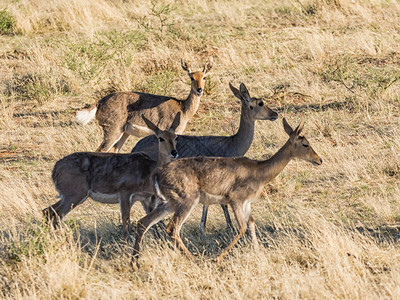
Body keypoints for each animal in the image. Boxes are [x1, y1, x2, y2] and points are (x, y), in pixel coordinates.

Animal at [43, 112, 180, 239]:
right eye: (160, 138)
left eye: (176, 137)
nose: (174, 152)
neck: (148, 170)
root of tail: (55, 169)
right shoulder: (125, 194)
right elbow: (126, 222)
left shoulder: (145, 200)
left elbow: (153, 223)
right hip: (74, 196)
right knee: (55, 215)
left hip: (72, 197)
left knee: (47, 211)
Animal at [75, 57, 212, 154]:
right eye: (191, 77)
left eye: (204, 77)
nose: (199, 90)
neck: (182, 108)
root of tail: (99, 102)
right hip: (113, 132)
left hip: (124, 133)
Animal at [131, 82, 278, 234]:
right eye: (260, 103)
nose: (275, 114)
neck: (232, 143)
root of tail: (135, 147)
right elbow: (222, 204)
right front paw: (228, 226)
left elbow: (207, 204)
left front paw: (203, 227)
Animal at [131, 117, 322, 268]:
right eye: (305, 143)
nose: (319, 159)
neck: (259, 171)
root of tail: (157, 173)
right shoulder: (235, 200)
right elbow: (242, 227)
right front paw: (218, 258)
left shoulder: (247, 203)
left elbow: (252, 224)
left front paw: (257, 251)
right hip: (186, 202)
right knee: (172, 228)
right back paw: (194, 259)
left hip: (169, 204)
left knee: (143, 223)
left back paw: (135, 263)